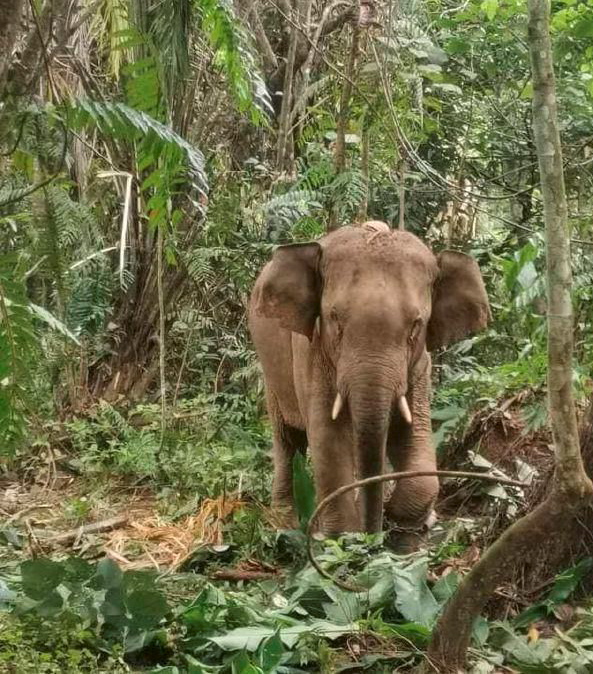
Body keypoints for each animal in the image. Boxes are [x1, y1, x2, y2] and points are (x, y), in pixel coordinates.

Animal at [246, 223, 490, 540]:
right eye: (335, 319)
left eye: (416, 325)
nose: (374, 534)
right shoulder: (311, 354)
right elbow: (328, 437)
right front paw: (344, 538)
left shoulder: (419, 366)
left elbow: (412, 432)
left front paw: (403, 522)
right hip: (272, 372)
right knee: (289, 439)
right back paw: (285, 523)